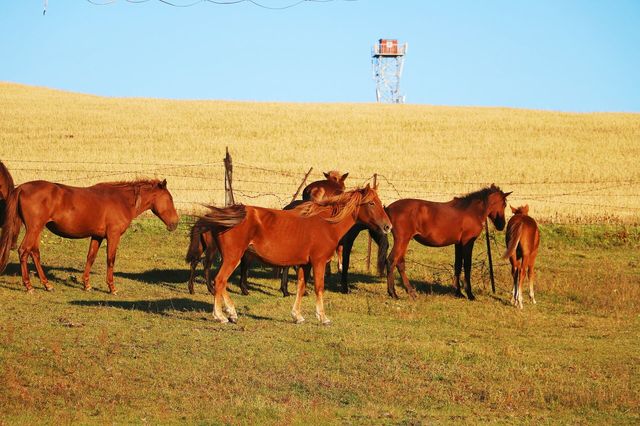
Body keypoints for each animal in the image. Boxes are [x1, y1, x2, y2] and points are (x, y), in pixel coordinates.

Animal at [0, 179, 180, 292]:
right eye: (170, 199)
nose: (175, 223)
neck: (122, 200)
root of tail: (22, 188)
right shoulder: (113, 236)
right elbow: (110, 260)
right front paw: (111, 288)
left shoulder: (97, 236)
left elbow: (90, 258)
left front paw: (86, 285)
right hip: (33, 229)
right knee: (23, 251)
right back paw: (29, 286)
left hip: (37, 230)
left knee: (34, 253)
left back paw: (47, 285)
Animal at [199, 185, 390, 324]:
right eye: (371, 203)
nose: (388, 226)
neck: (326, 224)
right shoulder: (319, 262)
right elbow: (319, 287)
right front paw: (323, 317)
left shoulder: (305, 264)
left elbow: (301, 287)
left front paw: (297, 316)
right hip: (233, 258)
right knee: (220, 281)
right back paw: (220, 316)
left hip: (233, 258)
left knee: (222, 283)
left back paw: (231, 312)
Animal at [382, 185, 512, 302]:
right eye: (504, 204)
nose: (501, 225)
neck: (471, 211)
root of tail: (388, 208)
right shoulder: (467, 242)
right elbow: (467, 266)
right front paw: (470, 294)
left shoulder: (458, 244)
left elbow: (458, 265)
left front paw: (458, 292)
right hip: (403, 240)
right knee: (392, 261)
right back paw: (394, 293)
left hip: (404, 241)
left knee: (399, 262)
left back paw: (408, 292)